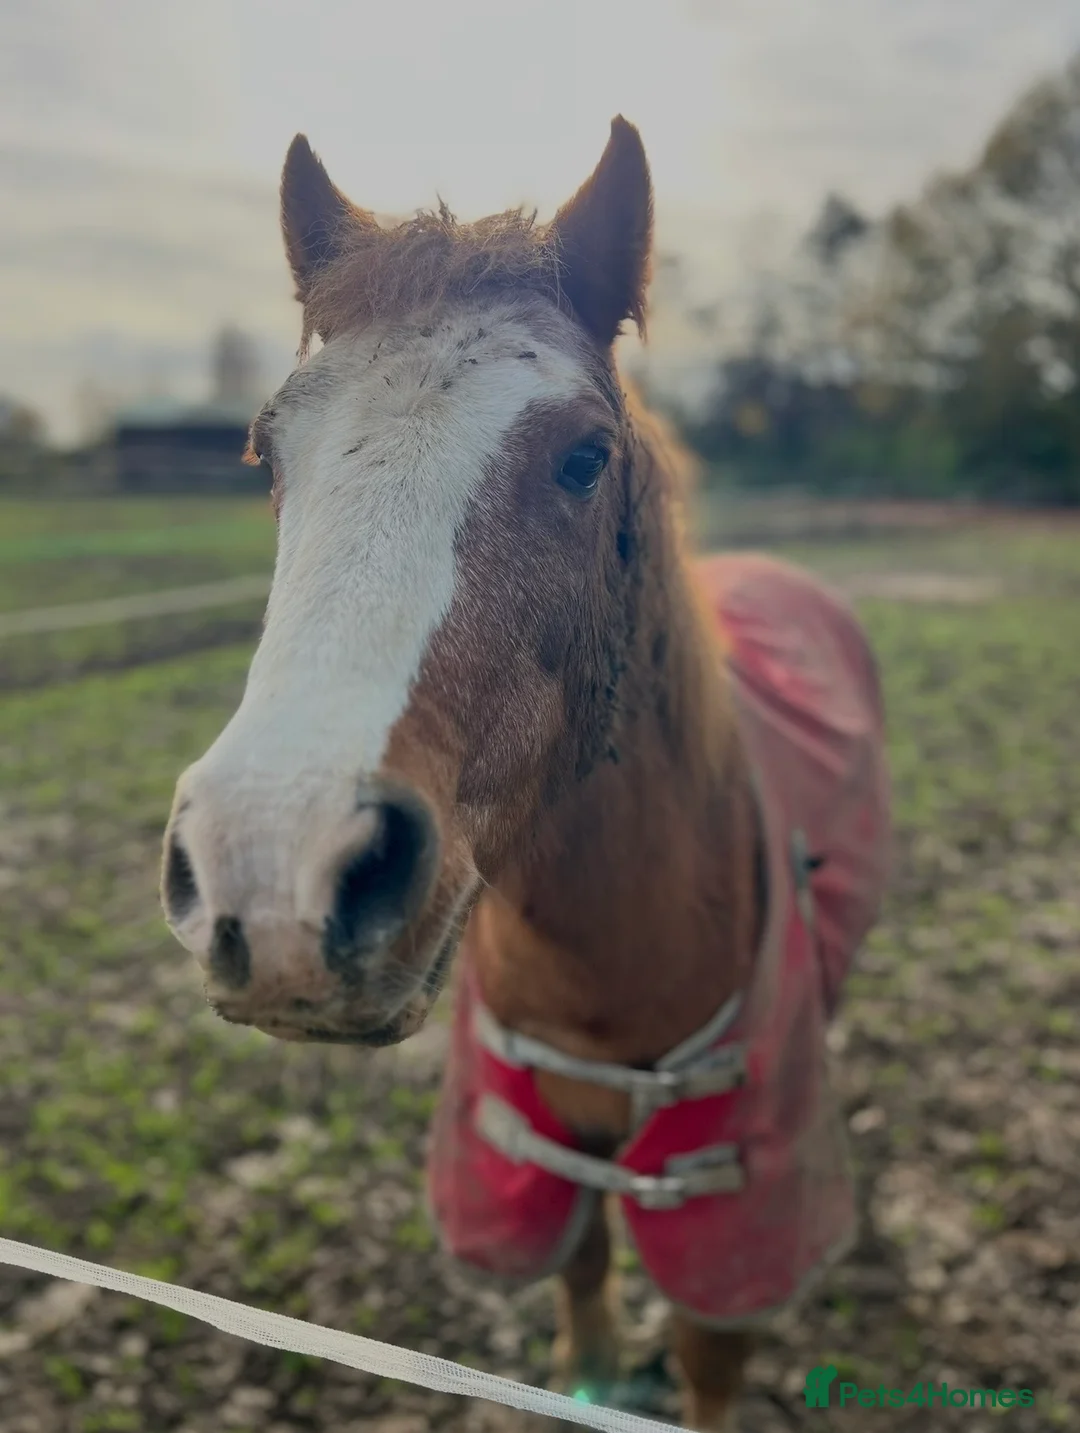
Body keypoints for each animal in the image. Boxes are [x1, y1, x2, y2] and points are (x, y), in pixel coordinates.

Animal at [160, 118, 891, 1431]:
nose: (276, 875)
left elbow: (706, 1357)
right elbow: (586, 1283)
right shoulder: (533, 1165)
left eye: (584, 457)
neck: (607, 972)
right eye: (265, 452)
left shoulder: (735, 1224)